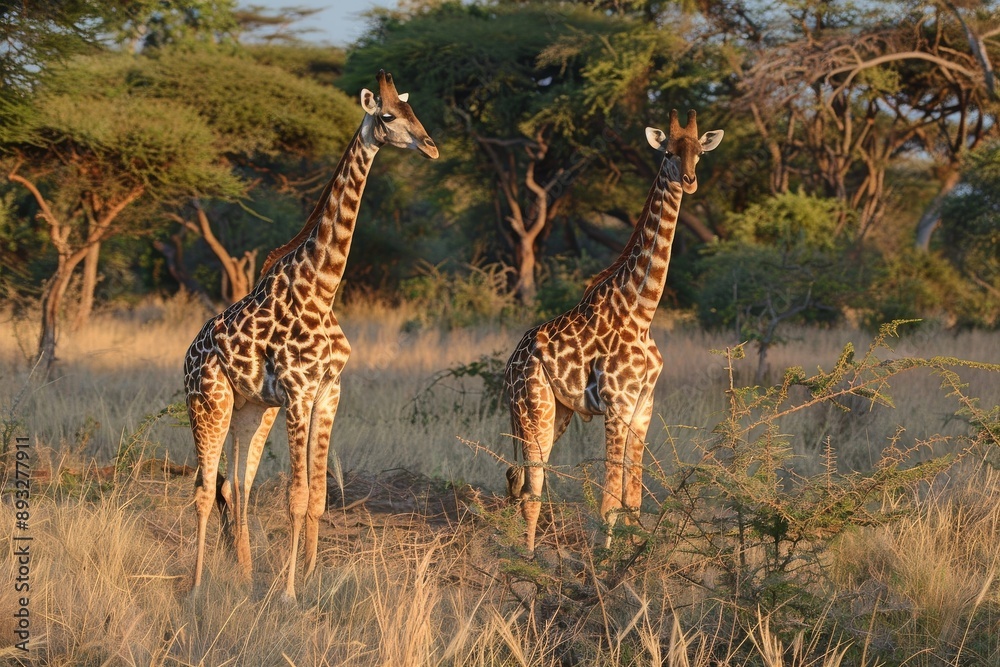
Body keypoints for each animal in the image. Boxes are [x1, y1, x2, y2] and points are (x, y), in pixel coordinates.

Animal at [184, 70, 438, 600]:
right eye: (388, 116)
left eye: (414, 112)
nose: (430, 146)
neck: (322, 288)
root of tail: (187, 356)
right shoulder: (299, 393)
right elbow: (297, 496)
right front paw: (287, 592)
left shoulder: (329, 390)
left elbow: (319, 496)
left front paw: (309, 581)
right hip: (208, 403)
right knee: (202, 489)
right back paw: (196, 588)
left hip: (250, 408)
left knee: (234, 485)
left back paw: (243, 576)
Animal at [504, 110, 723, 554]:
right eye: (669, 152)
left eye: (700, 153)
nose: (690, 180)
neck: (642, 310)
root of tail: (510, 364)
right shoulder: (617, 405)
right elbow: (609, 502)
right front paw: (604, 561)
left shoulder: (643, 407)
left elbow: (633, 501)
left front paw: (633, 561)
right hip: (532, 409)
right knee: (531, 487)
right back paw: (527, 559)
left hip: (558, 413)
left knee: (526, 483)